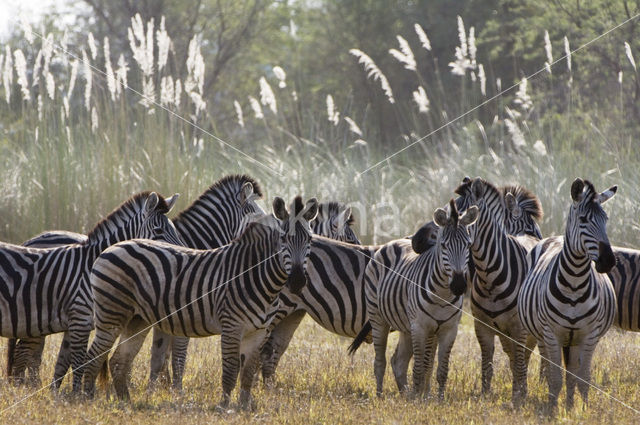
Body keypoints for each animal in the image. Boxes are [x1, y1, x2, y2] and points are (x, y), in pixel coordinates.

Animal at [0, 191, 182, 390]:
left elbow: (66, 361)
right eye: (158, 231)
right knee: (22, 356)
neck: (93, 264)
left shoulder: (79, 322)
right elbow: (79, 361)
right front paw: (77, 395)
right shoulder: (80, 318)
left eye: (174, 230)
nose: (181, 252)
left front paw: (63, 394)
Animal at [82, 197, 318, 410]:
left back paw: (126, 402)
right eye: (284, 239)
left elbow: (248, 372)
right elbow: (231, 369)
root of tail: (113, 247)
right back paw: (87, 400)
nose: (298, 281)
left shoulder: (258, 331)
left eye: (310, 240)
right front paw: (224, 407)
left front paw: (244, 407)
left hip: (136, 320)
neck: (256, 276)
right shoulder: (231, 326)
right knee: (93, 357)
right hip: (111, 315)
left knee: (117, 361)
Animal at [350, 200, 480, 396]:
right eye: (443, 245)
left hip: (406, 326)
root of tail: (392, 242)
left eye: (468, 245)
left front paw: (436, 398)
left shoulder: (449, 329)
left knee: (398, 361)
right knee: (380, 362)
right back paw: (380, 396)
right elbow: (419, 369)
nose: (458, 285)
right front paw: (418, 400)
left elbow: (441, 370)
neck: (442, 295)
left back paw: (405, 394)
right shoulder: (420, 327)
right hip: (378, 318)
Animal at [450, 177, 544, 402]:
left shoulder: (519, 327)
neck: (489, 276)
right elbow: (488, 364)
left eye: (465, 216)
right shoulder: (482, 326)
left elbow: (519, 361)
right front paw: (486, 396)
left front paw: (519, 396)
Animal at [516, 177, 616, 410]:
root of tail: (556, 237)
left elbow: (583, 379)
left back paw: (570, 404)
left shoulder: (589, 336)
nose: (608, 261)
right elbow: (555, 378)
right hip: (542, 335)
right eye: (583, 219)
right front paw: (552, 408)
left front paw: (582, 410)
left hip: (574, 340)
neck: (575, 283)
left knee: (572, 374)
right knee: (548, 368)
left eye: (606, 219)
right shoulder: (551, 334)